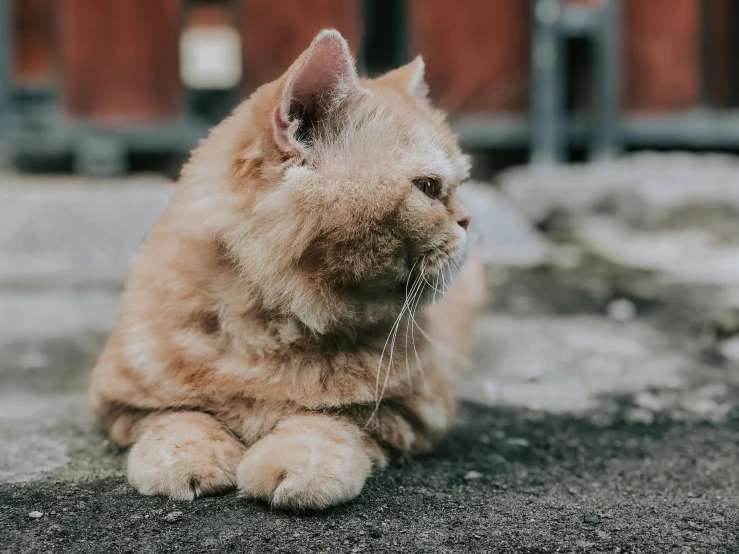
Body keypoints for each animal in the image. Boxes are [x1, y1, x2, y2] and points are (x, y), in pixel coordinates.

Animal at [89, 28, 486, 506]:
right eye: (428, 188)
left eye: (458, 186)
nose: (469, 220)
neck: (270, 325)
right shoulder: (122, 398)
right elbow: (180, 415)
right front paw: (188, 456)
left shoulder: (415, 410)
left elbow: (329, 420)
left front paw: (299, 462)